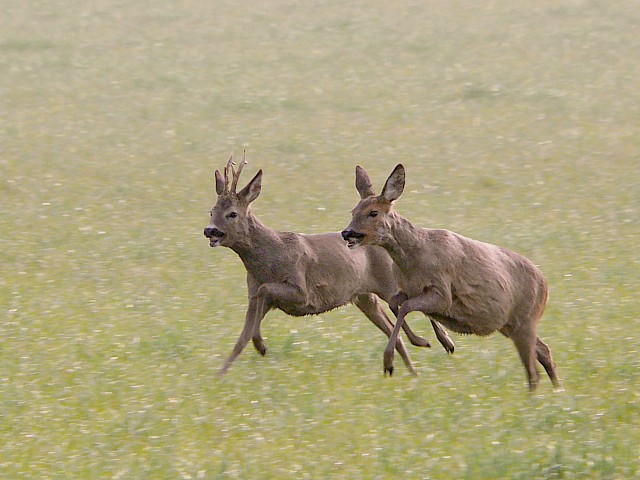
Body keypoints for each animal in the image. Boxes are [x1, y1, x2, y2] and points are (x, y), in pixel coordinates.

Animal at [202, 153, 452, 376]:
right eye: (211, 211)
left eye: (232, 213)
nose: (210, 230)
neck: (269, 258)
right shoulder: (254, 295)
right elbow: (240, 340)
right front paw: (219, 376)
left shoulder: (301, 290)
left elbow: (265, 293)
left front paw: (261, 346)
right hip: (364, 296)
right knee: (393, 327)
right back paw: (414, 369)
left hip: (389, 283)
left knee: (412, 307)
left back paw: (440, 343)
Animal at [342, 164, 556, 390]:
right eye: (353, 211)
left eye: (373, 212)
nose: (347, 233)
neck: (415, 258)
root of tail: (545, 285)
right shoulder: (407, 289)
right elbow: (394, 304)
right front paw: (428, 341)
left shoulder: (443, 292)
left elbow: (406, 307)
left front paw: (391, 361)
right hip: (511, 324)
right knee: (544, 352)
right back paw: (556, 390)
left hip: (526, 319)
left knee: (533, 370)